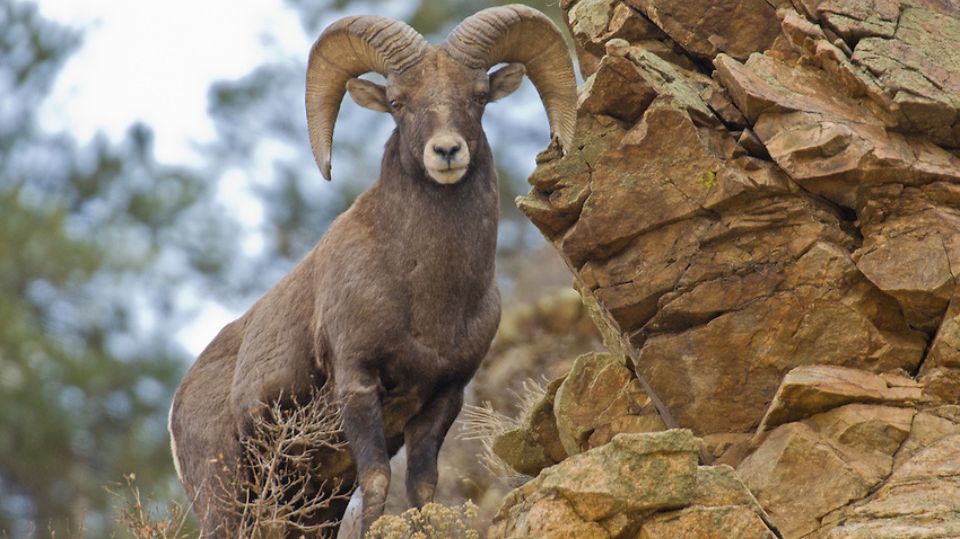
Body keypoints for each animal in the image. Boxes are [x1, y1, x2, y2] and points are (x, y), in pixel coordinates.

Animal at [167, 5, 576, 537]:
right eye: (399, 102)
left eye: (479, 97)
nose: (447, 152)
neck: (428, 297)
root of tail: (179, 403)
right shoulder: (358, 383)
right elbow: (379, 478)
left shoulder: (444, 396)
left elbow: (421, 487)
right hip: (229, 500)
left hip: (307, 501)